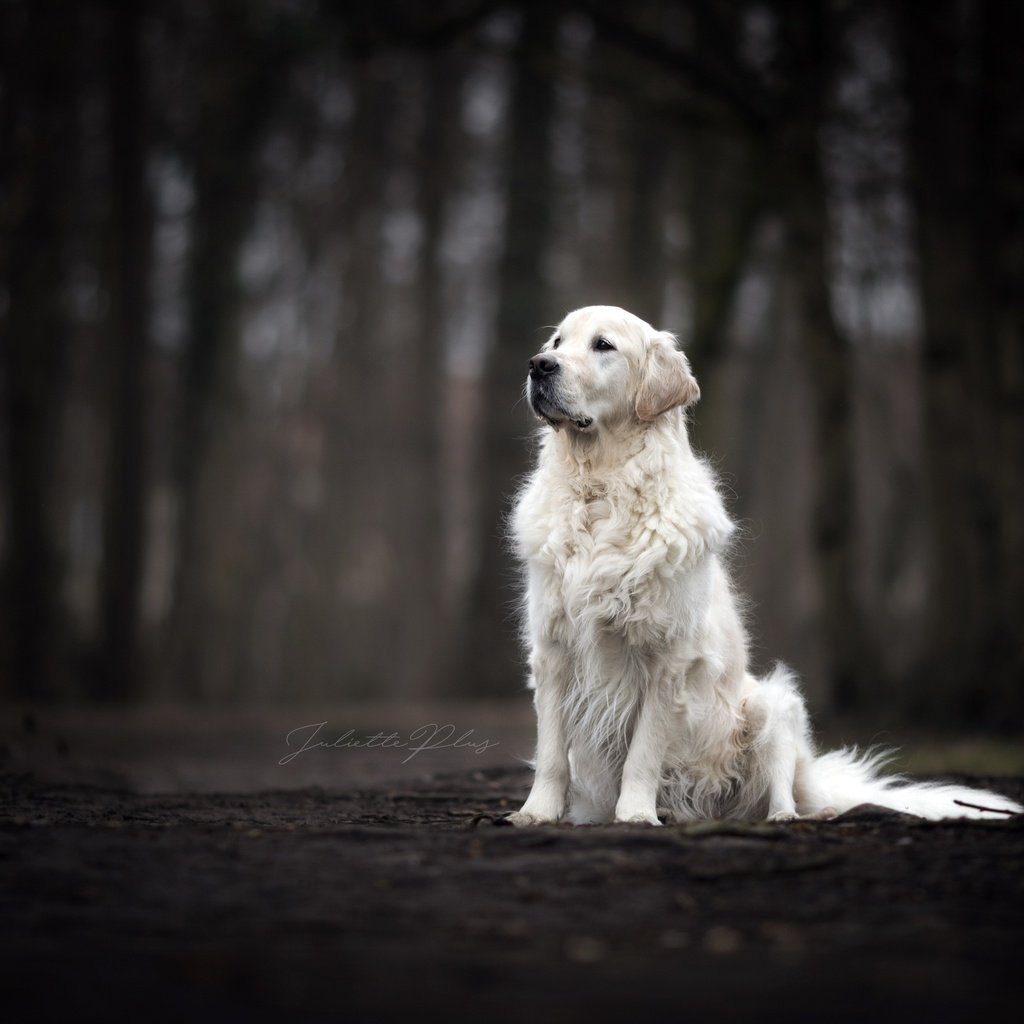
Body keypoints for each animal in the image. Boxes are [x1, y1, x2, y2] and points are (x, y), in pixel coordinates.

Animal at [507, 303, 1019, 823]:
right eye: (556, 342)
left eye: (603, 345)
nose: (538, 366)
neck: (600, 491)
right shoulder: (552, 649)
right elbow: (551, 753)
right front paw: (537, 812)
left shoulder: (667, 658)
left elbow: (643, 754)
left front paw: (635, 814)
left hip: (774, 705)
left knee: (786, 788)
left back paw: (788, 815)